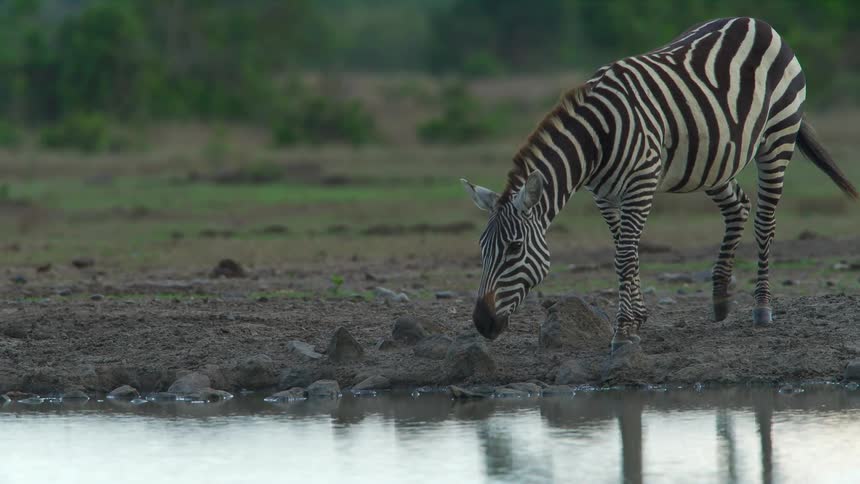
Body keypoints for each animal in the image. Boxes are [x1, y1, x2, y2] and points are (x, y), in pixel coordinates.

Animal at [460, 17, 857, 351]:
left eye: (514, 248)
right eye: (481, 248)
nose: (482, 323)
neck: (596, 139)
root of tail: (757, 22)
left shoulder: (641, 183)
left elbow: (625, 254)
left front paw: (623, 331)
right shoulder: (603, 194)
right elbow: (624, 251)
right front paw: (637, 319)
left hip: (778, 136)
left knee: (765, 221)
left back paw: (761, 308)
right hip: (712, 158)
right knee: (738, 207)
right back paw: (720, 297)